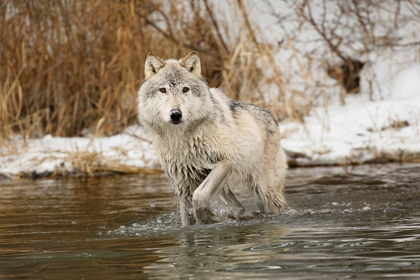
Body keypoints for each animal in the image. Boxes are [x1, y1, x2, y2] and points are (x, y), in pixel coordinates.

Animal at [136, 52, 288, 226]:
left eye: (185, 89)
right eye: (163, 90)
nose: (175, 114)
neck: (181, 140)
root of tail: (273, 118)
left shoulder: (225, 162)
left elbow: (199, 196)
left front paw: (208, 217)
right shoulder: (183, 185)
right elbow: (189, 214)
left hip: (263, 191)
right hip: (225, 190)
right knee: (240, 206)